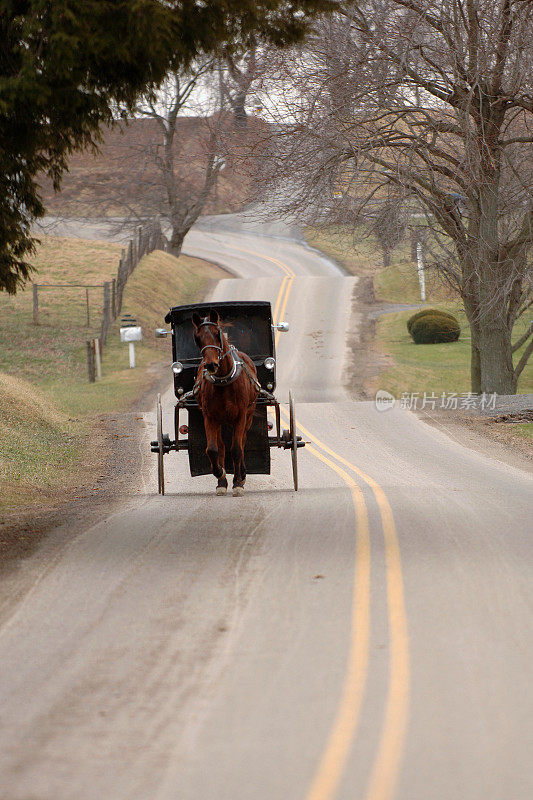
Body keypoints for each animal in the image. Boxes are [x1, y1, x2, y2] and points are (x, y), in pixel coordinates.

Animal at [191, 310, 258, 496]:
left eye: (217, 334)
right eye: (197, 338)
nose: (211, 364)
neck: (224, 382)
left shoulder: (241, 416)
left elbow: (236, 449)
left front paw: (238, 482)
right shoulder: (209, 417)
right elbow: (213, 449)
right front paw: (220, 475)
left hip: (249, 415)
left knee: (242, 442)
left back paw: (241, 474)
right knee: (220, 446)